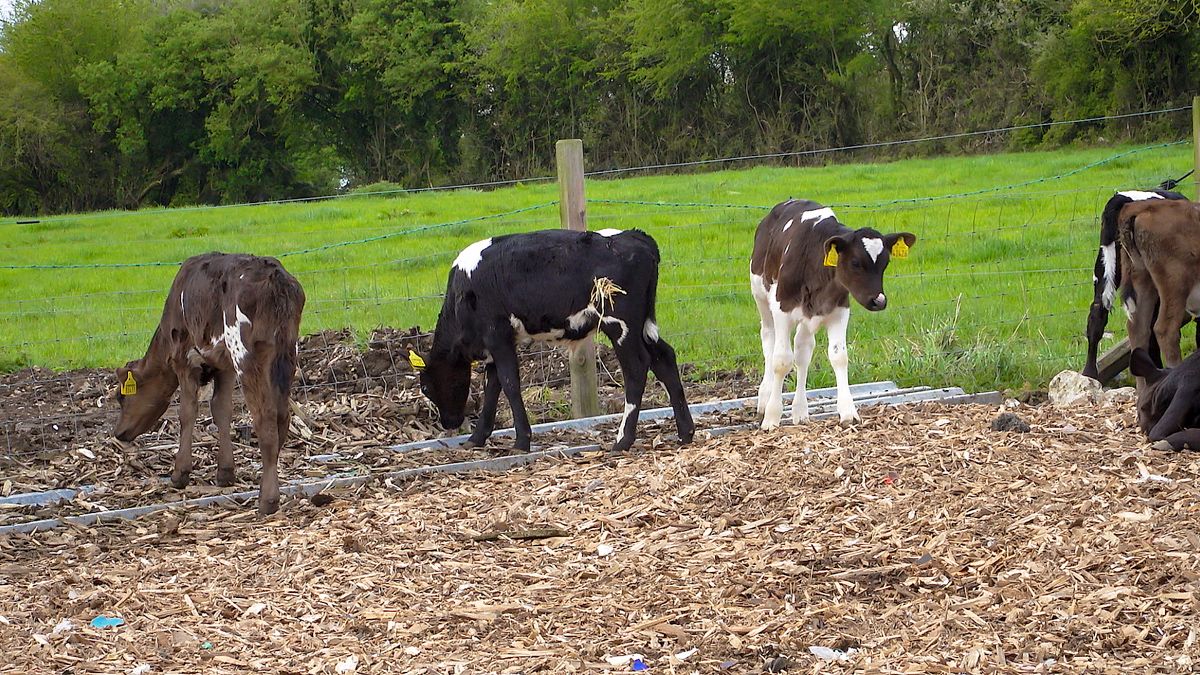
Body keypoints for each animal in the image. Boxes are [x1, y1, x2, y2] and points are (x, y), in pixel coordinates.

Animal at [112, 252, 306, 515]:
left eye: (121, 396)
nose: (119, 433)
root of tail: (274, 275)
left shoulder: (185, 360)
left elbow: (187, 412)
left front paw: (179, 474)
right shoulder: (224, 366)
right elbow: (221, 409)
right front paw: (225, 473)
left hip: (247, 354)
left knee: (265, 418)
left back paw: (267, 500)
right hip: (287, 352)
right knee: (282, 417)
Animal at [414, 228, 694, 453]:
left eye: (425, 387)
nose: (448, 423)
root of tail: (635, 236)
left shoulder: (496, 335)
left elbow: (509, 383)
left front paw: (521, 442)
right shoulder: (499, 343)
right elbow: (492, 386)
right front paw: (476, 438)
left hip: (620, 324)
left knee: (637, 368)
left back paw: (622, 441)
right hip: (643, 325)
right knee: (664, 358)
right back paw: (685, 432)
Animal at [750, 199, 915, 430]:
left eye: (886, 263)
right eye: (855, 262)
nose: (879, 301)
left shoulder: (839, 309)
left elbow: (839, 357)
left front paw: (848, 412)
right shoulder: (781, 308)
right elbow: (781, 361)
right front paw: (772, 417)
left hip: (808, 316)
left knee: (803, 350)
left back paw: (800, 411)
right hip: (761, 295)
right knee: (768, 340)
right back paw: (764, 401)